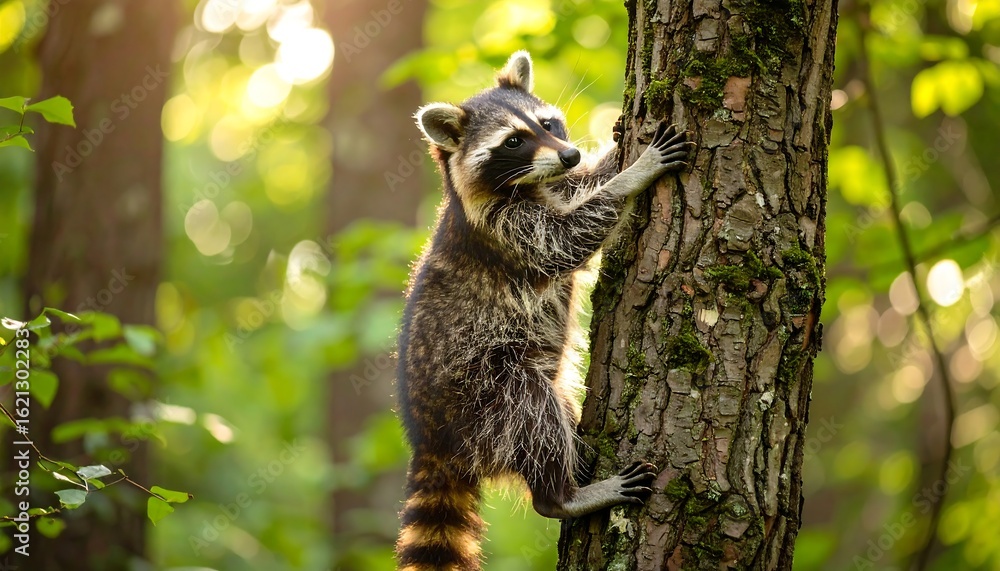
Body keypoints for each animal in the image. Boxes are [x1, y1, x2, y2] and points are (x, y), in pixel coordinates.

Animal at [395, 51, 693, 571]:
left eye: (548, 123)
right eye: (514, 141)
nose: (569, 154)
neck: (528, 187)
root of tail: (431, 441)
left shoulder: (553, 189)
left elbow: (583, 188)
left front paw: (614, 155)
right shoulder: (505, 231)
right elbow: (568, 240)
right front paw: (633, 174)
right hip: (481, 394)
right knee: (531, 408)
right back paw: (562, 496)